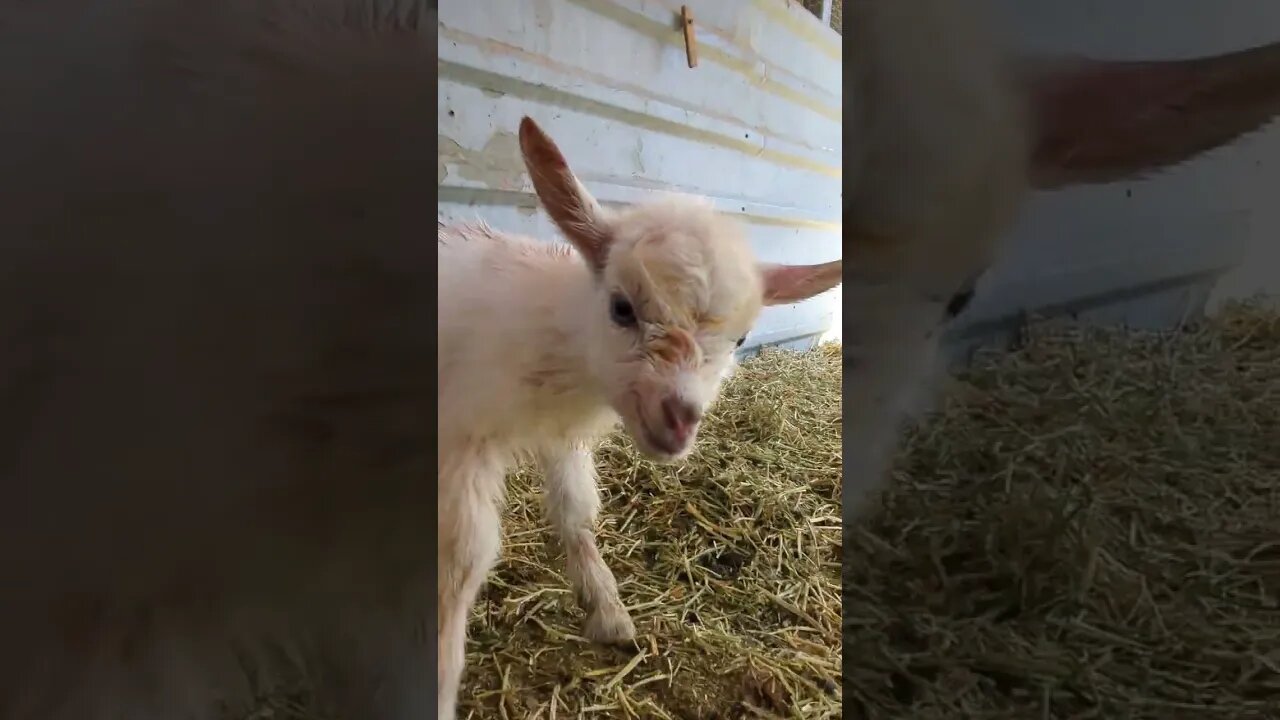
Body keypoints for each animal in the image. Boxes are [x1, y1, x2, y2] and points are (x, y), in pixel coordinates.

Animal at [435, 116, 842, 718]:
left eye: (740, 339)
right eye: (622, 308)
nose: (680, 420)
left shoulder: (562, 437)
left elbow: (577, 511)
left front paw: (606, 610)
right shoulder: (462, 439)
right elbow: (461, 560)